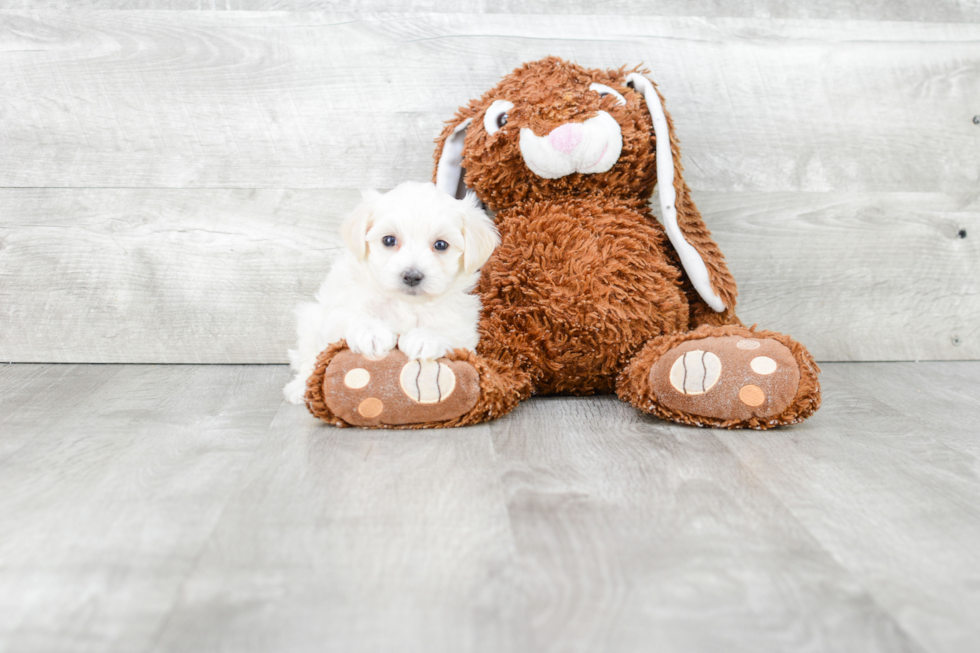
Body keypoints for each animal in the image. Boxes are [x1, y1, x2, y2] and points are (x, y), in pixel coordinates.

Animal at [282, 180, 498, 402]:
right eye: (388, 240)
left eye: (440, 245)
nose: (412, 276)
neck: (406, 304)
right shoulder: (338, 311)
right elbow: (352, 316)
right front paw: (371, 332)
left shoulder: (463, 327)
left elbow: (450, 332)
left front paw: (425, 338)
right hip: (310, 319)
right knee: (309, 358)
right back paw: (300, 387)